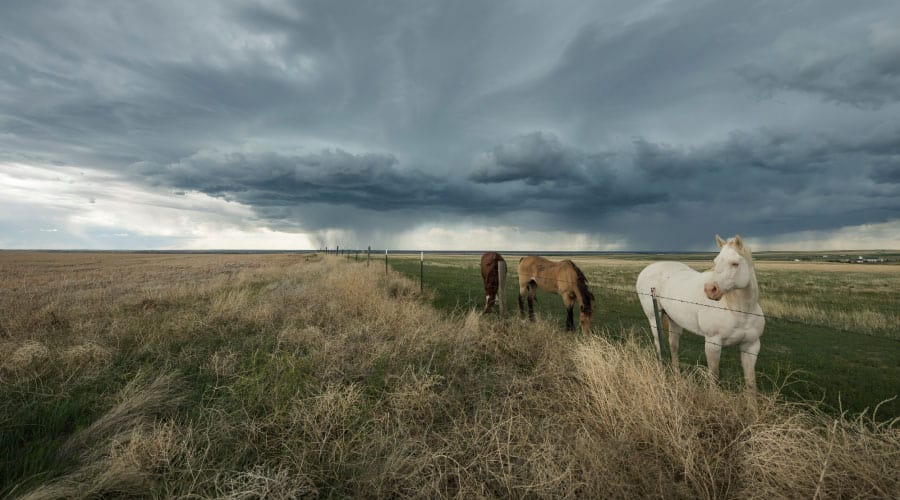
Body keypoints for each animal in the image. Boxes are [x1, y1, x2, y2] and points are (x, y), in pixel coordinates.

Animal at [636, 235, 765, 389]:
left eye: (735, 264)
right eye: (715, 261)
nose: (710, 289)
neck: (740, 312)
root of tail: (648, 268)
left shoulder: (751, 346)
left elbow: (751, 383)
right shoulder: (712, 344)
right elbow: (713, 376)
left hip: (674, 320)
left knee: (673, 346)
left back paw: (677, 377)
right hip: (654, 318)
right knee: (659, 345)